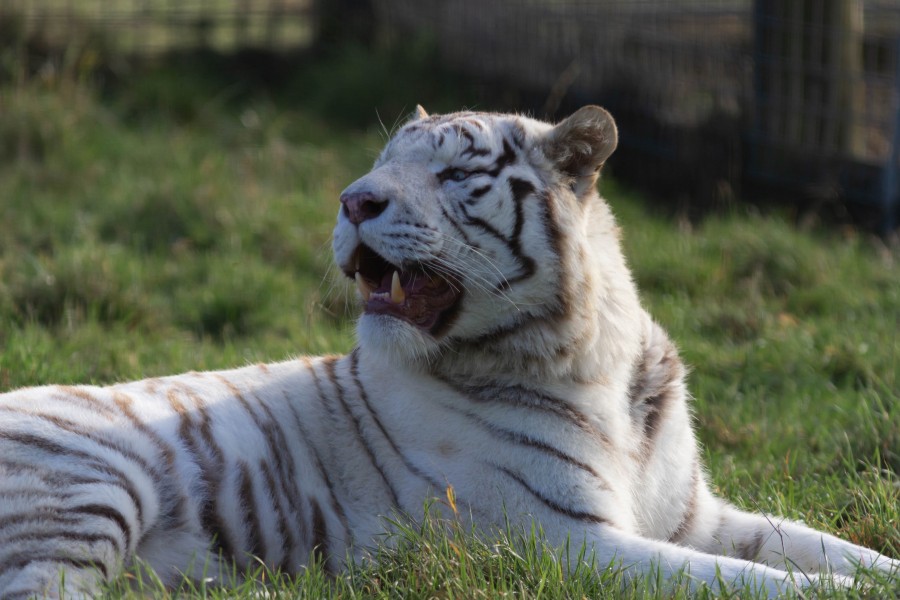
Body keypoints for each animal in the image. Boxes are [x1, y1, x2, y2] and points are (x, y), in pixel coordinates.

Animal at [0, 104, 897, 599]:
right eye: (380, 164)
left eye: (456, 173)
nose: (352, 200)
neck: (594, 358)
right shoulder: (570, 540)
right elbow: (750, 582)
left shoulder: (694, 515)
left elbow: (824, 547)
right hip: (92, 487)